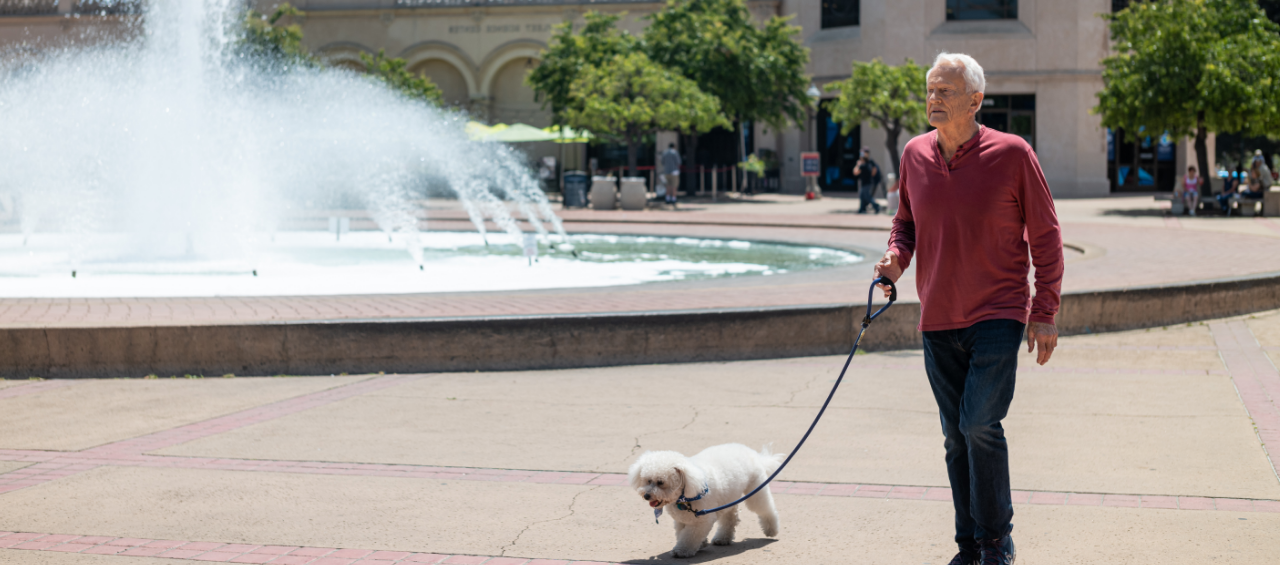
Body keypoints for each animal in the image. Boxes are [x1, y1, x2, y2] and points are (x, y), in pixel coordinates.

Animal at [627, 443, 778, 556]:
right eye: (648, 480)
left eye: (660, 482)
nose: (646, 496)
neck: (685, 496)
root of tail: (754, 454)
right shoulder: (682, 519)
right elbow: (682, 532)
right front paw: (701, 543)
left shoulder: (701, 520)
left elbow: (690, 536)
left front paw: (682, 550)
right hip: (728, 498)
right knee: (730, 518)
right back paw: (723, 538)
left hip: (755, 490)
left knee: (765, 509)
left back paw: (772, 529)